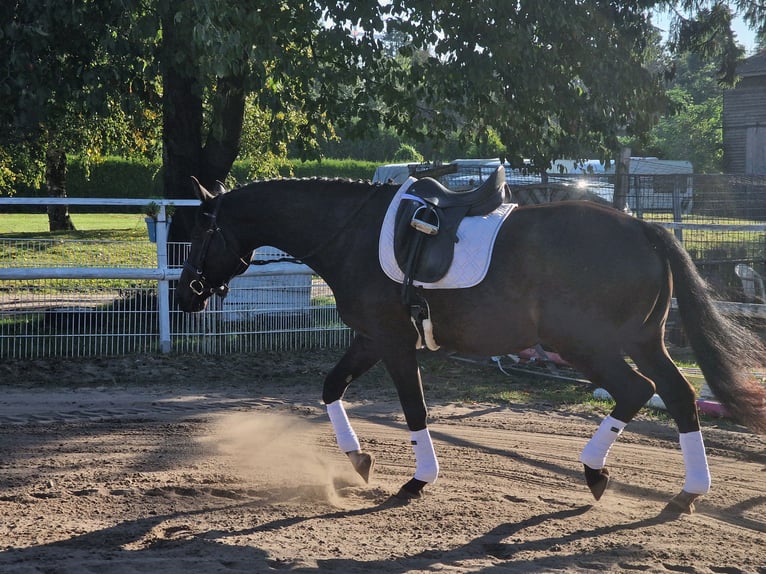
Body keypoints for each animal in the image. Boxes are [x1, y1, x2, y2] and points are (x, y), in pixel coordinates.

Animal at [177, 177, 766, 516]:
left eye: (202, 231)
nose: (186, 293)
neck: (352, 232)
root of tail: (644, 229)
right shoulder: (370, 337)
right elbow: (330, 386)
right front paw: (358, 459)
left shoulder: (393, 340)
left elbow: (414, 409)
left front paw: (418, 479)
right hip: (641, 341)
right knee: (679, 395)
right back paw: (687, 492)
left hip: (588, 345)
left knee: (637, 391)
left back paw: (596, 471)